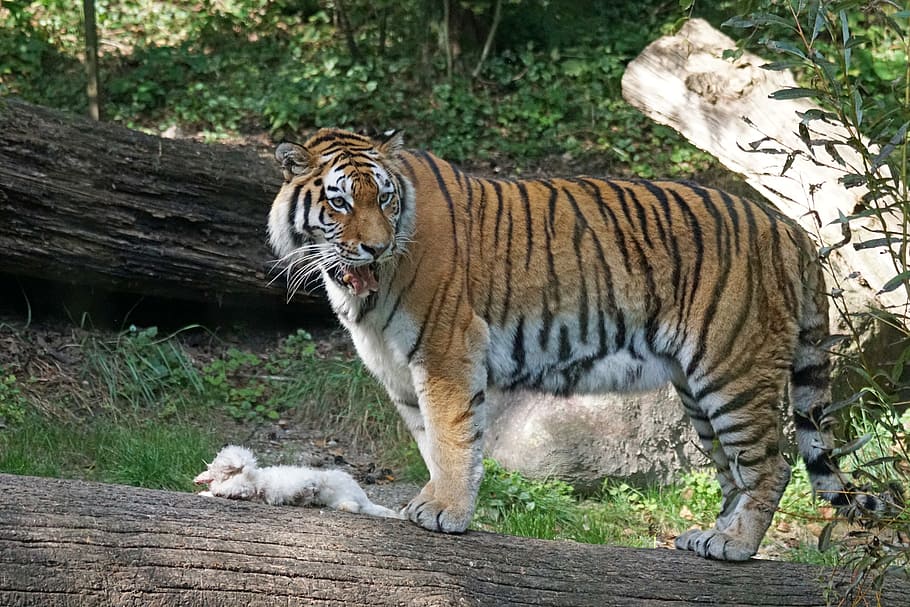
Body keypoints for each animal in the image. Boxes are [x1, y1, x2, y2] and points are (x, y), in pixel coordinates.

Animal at [267, 127, 885, 561]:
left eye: (385, 199)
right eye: (341, 203)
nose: (374, 248)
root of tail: (791, 230)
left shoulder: (446, 349)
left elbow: (452, 436)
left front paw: (445, 510)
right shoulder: (400, 368)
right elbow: (429, 440)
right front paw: (435, 502)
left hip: (733, 370)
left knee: (771, 467)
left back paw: (736, 546)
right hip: (697, 389)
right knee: (735, 471)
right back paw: (712, 537)